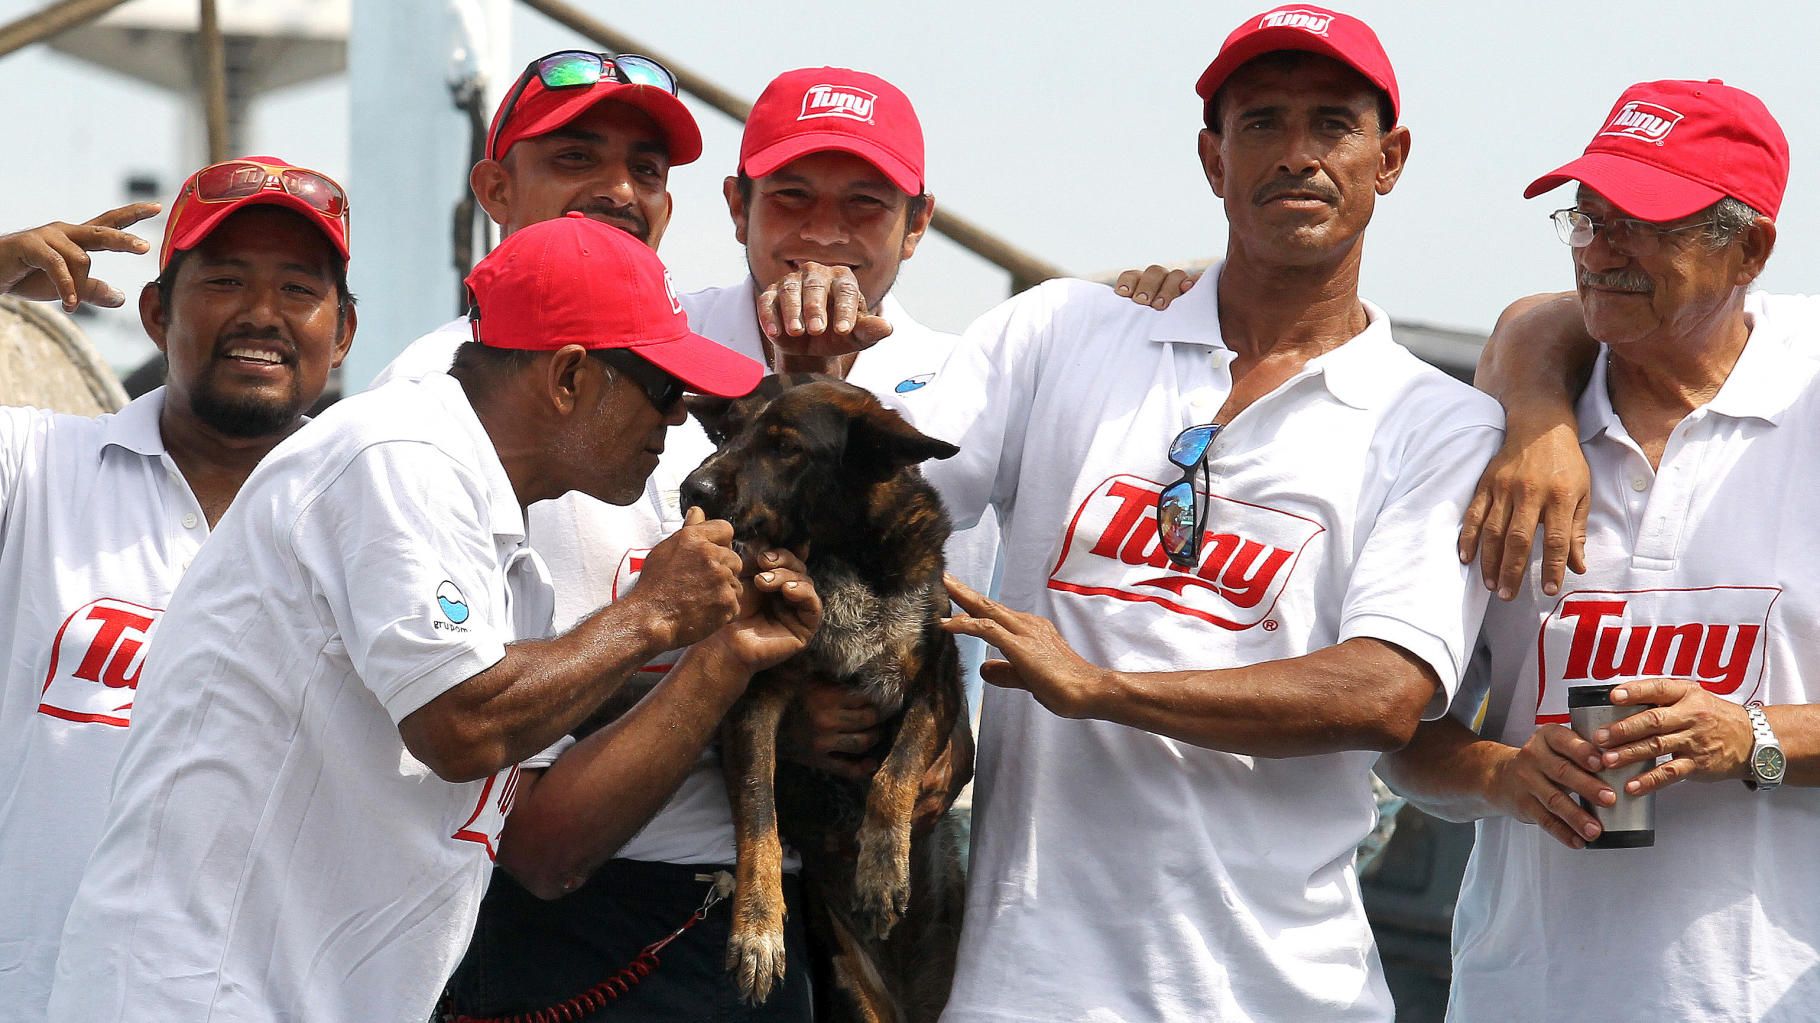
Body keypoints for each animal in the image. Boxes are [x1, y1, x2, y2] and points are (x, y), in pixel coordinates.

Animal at [684, 376, 968, 1019]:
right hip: (846, 983)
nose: (694, 488)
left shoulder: (938, 684)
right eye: (726, 432)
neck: (836, 556)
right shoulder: (753, 701)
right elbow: (758, 817)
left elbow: (895, 773)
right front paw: (758, 927)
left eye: (786, 447)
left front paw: (882, 872)